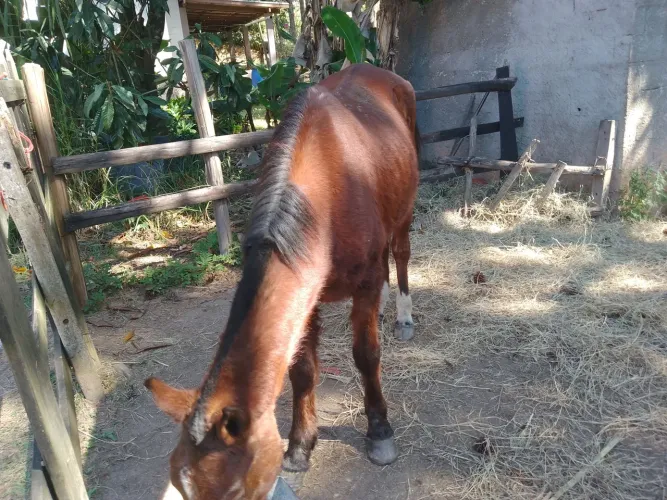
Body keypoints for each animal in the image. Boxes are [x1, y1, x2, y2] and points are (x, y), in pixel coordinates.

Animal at [145, 63, 420, 500]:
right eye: (182, 487)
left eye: (235, 491)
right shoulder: (308, 297)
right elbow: (301, 370)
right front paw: (300, 446)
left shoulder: (363, 285)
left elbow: (366, 355)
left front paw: (379, 432)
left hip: (405, 211)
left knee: (401, 254)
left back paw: (404, 317)